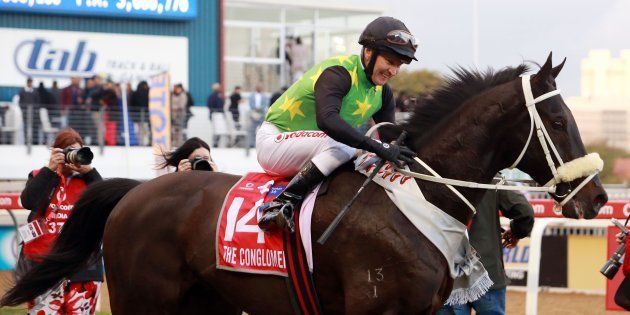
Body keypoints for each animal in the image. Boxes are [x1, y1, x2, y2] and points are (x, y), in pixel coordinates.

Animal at [1, 54, 612, 314]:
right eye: (558, 121)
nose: (598, 198)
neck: (414, 197)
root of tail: (135, 192)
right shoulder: (373, 312)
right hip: (142, 299)